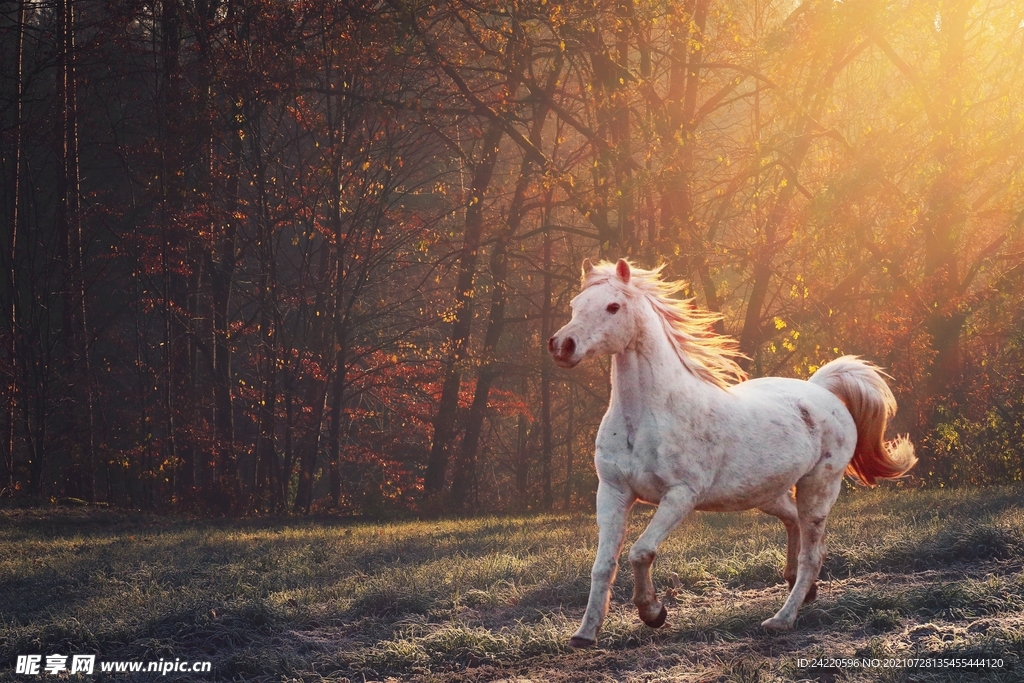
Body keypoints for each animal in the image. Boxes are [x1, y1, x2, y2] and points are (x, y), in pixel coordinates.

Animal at [547, 258, 917, 648]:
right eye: (575, 304)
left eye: (613, 306)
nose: (562, 345)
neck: (647, 416)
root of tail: (822, 390)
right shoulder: (613, 492)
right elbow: (603, 565)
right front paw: (585, 633)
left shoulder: (680, 495)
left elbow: (640, 552)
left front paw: (653, 612)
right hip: (765, 493)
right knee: (794, 524)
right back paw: (800, 588)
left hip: (818, 488)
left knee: (812, 555)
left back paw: (781, 619)